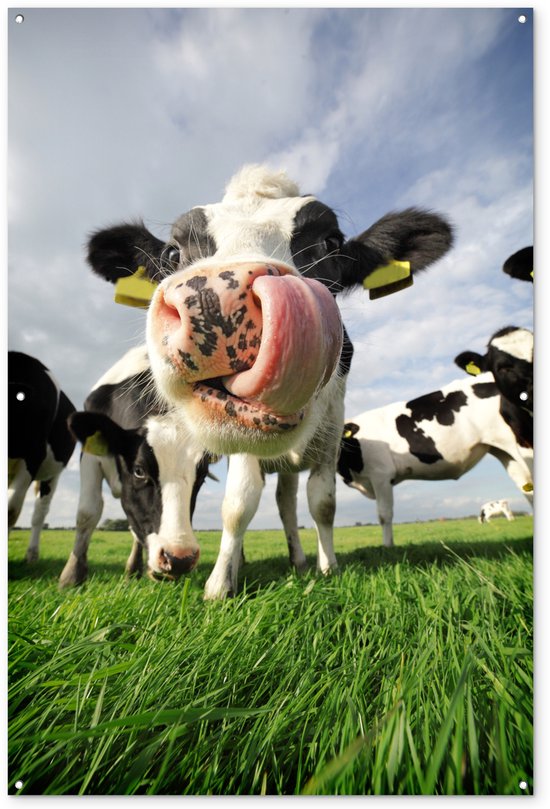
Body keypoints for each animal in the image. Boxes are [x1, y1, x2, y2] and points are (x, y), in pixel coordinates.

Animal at [58, 345, 214, 587]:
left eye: (202, 476)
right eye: (139, 471)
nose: (179, 559)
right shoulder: (90, 455)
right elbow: (88, 512)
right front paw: (71, 576)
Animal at [85, 164, 453, 598]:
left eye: (330, 242)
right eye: (173, 253)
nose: (217, 299)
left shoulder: (331, 433)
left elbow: (322, 503)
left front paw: (328, 567)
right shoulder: (241, 439)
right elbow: (238, 504)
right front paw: (219, 584)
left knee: (287, 502)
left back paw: (298, 559)